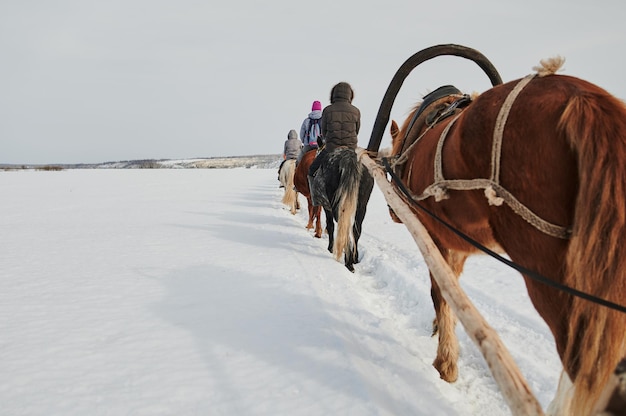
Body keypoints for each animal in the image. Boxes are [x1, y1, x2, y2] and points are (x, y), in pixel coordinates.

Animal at [368, 44, 624, 414]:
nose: (392, 213)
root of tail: (583, 101)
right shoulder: (457, 244)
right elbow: (451, 291)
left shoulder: (436, 236)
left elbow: (441, 292)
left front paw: (446, 363)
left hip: (551, 276)